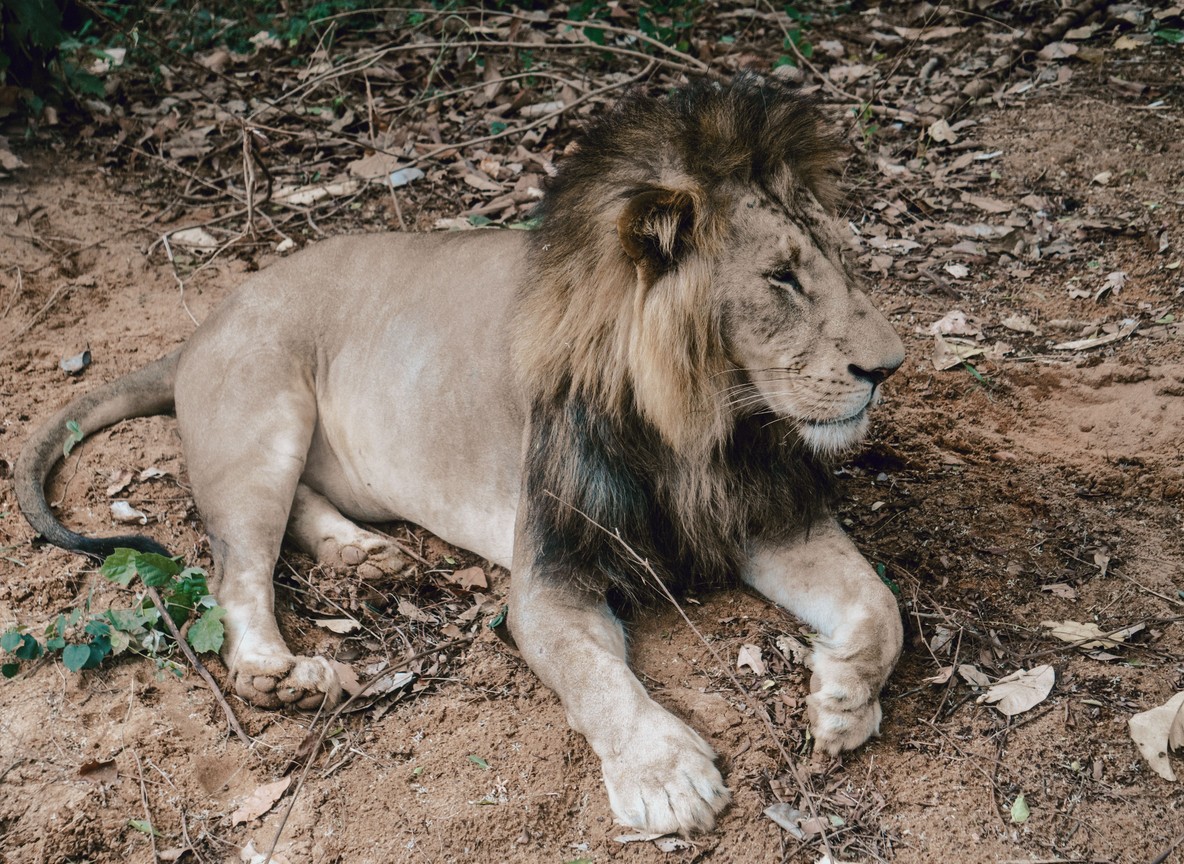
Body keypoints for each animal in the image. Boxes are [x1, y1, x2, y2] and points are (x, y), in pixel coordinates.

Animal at [16, 74, 905, 836]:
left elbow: (880, 606)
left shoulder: (764, 516)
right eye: (781, 277)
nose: (889, 366)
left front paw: (842, 698)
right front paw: (665, 775)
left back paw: (363, 555)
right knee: (237, 570)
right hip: (260, 417)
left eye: (840, 262)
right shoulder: (551, 573)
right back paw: (284, 673)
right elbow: (597, 678)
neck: (698, 427)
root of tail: (206, 320)